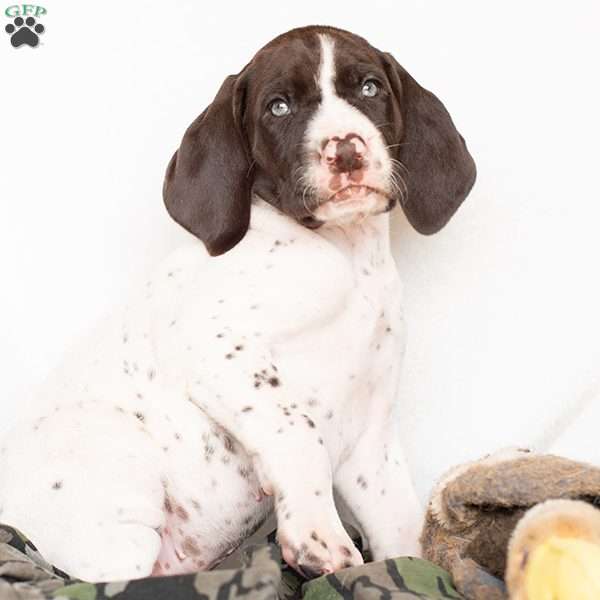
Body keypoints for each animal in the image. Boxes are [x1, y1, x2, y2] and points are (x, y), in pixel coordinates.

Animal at [0, 27, 476, 580]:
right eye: (278, 107)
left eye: (370, 88)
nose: (346, 152)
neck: (345, 257)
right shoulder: (217, 348)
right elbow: (298, 428)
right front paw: (316, 534)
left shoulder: (371, 439)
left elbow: (403, 532)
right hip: (113, 453)